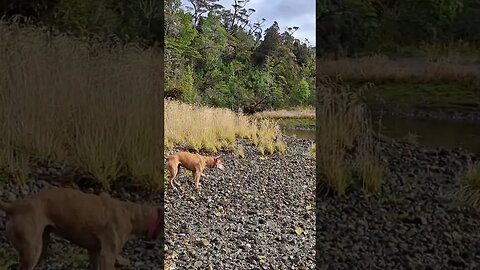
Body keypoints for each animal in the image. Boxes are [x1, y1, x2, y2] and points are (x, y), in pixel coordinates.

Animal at [0, 188, 163, 270]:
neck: (133, 214)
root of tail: (15, 206)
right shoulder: (108, 255)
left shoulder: (94, 251)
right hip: (32, 251)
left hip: (41, 245)